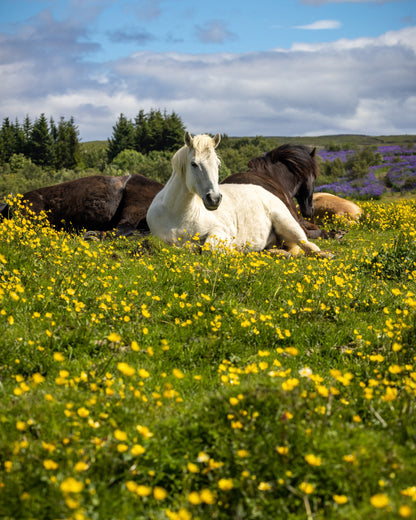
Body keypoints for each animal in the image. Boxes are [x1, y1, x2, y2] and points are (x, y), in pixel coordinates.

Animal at [148, 132, 330, 258]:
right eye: (193, 164)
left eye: (218, 164)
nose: (214, 199)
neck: (178, 215)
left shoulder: (219, 232)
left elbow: (209, 247)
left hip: (288, 224)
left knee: (309, 246)